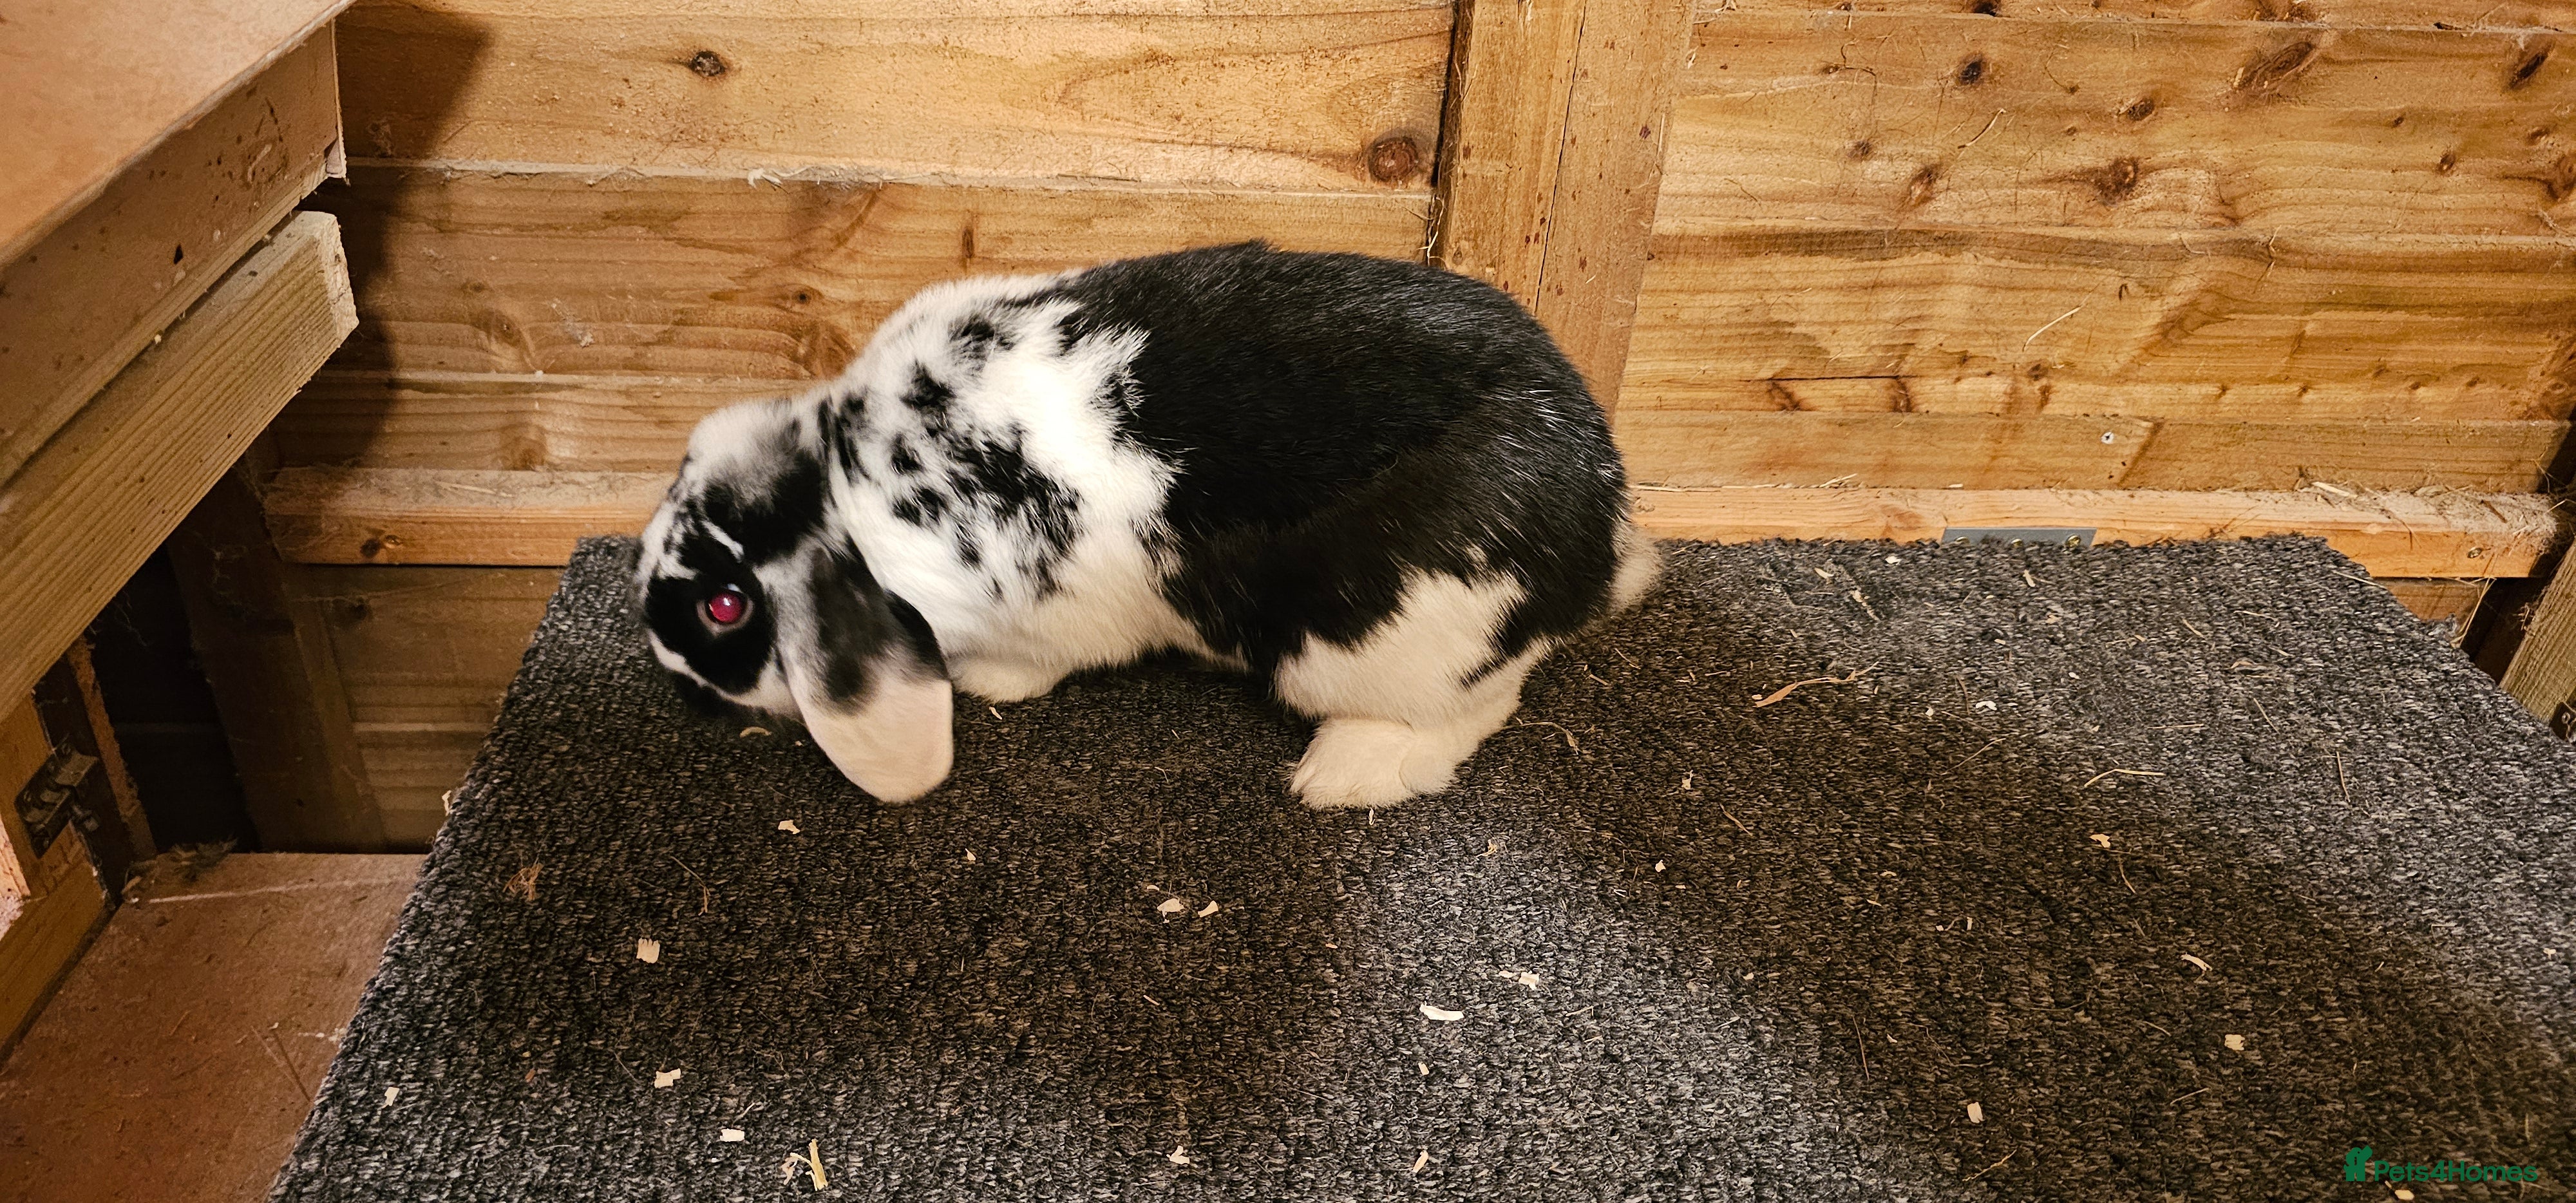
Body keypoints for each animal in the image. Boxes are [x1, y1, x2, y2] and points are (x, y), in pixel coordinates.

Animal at [637, 241, 1659, 808]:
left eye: (725, 606)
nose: (675, 675)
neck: (847, 489)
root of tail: (1595, 540)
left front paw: (983, 683)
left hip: (1370, 640)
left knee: (1473, 706)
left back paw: (1342, 775)